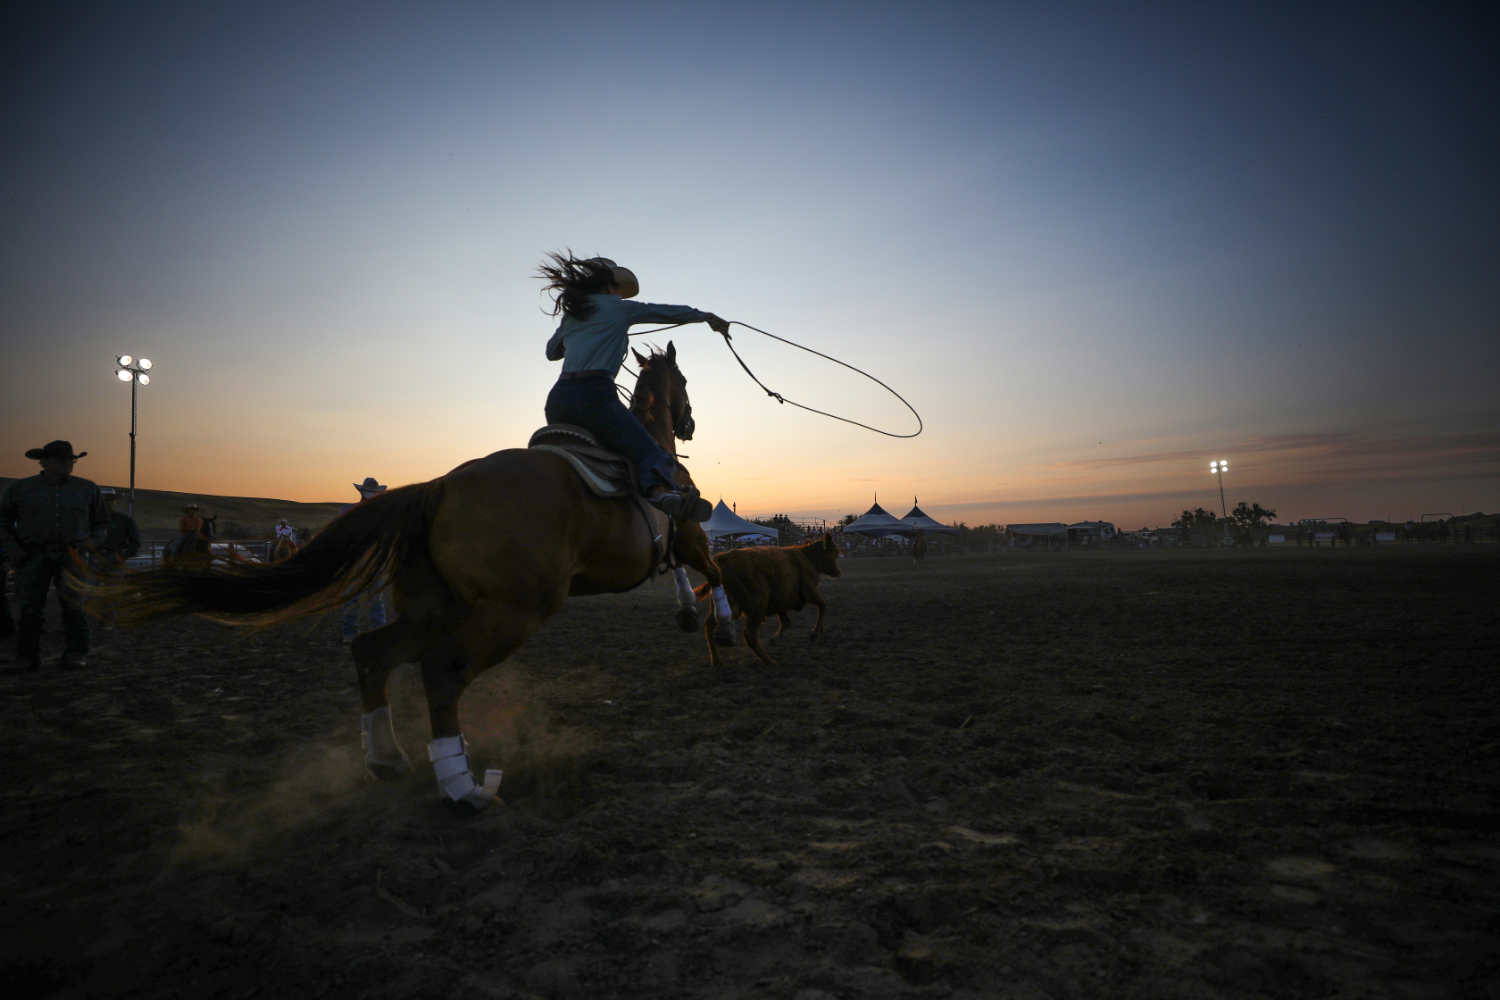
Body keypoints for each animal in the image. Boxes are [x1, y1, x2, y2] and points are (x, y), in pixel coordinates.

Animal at [98, 347, 720, 815]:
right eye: (684, 380)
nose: (690, 420)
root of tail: (438, 486)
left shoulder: (677, 545)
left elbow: (685, 575)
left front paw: (693, 615)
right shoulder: (690, 534)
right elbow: (708, 572)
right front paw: (715, 622)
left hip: (435, 610)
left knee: (373, 653)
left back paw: (387, 759)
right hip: (512, 611)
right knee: (441, 672)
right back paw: (462, 788)